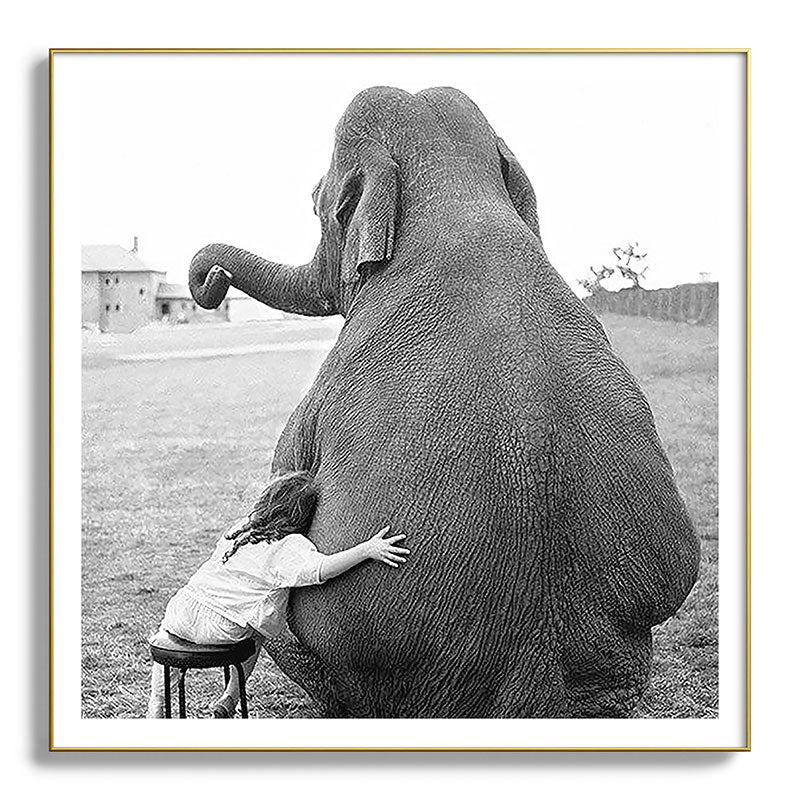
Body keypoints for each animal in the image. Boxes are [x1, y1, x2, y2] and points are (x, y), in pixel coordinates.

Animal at [188, 86, 700, 718]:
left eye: (314, 200)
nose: (209, 279)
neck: (455, 191)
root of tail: (535, 691)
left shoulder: (320, 392)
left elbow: (285, 479)